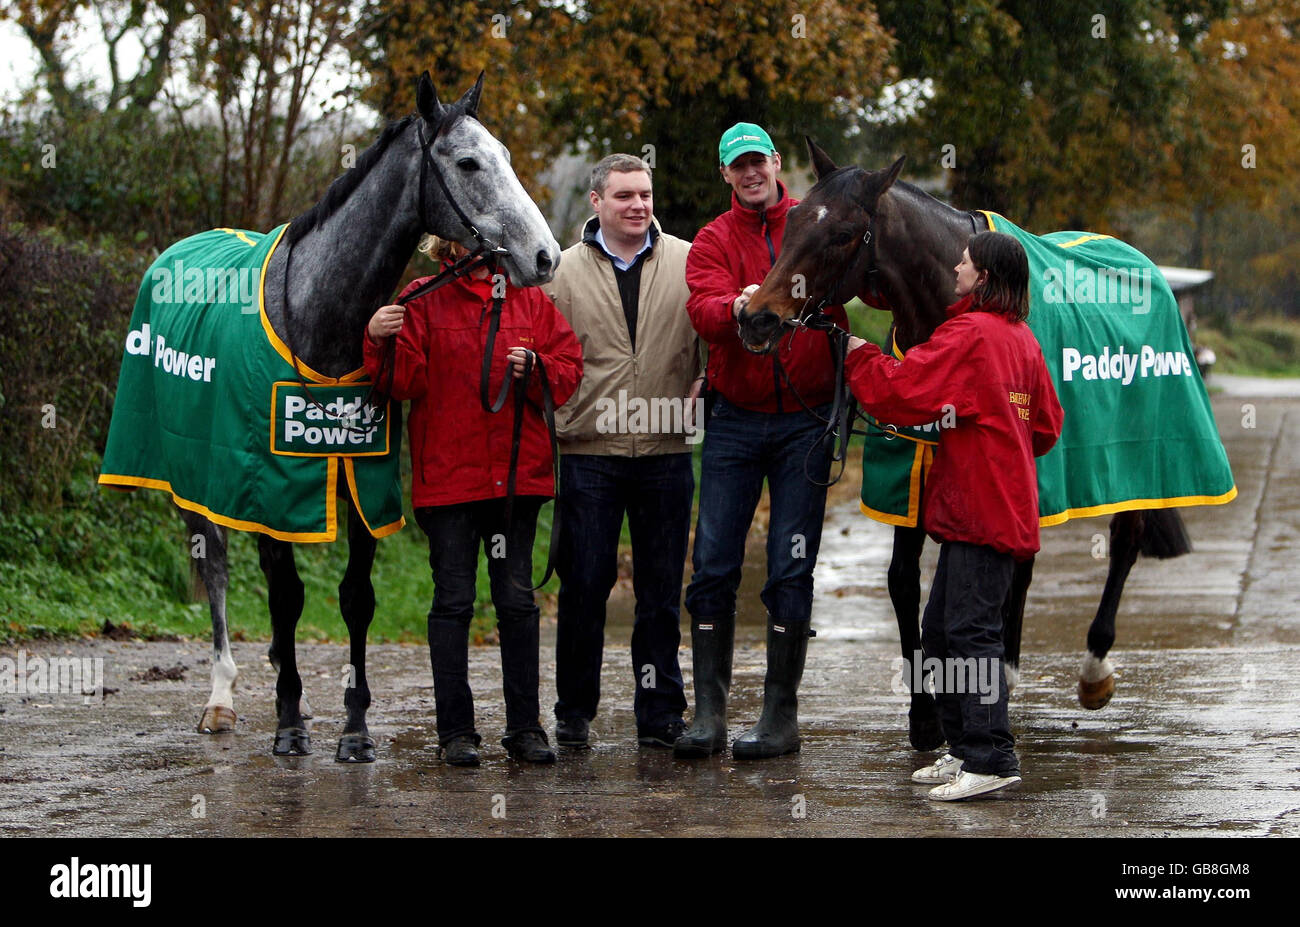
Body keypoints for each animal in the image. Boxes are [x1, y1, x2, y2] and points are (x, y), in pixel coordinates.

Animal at [104, 74, 561, 759]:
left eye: (505, 154)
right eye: (468, 162)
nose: (544, 256)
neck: (319, 316)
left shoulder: (361, 482)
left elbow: (356, 598)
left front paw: (354, 728)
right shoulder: (266, 483)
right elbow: (287, 594)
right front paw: (289, 723)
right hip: (192, 476)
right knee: (215, 565)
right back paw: (221, 697)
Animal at [743, 143, 1196, 754]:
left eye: (842, 233)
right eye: (790, 220)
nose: (756, 318)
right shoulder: (913, 471)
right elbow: (903, 581)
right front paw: (924, 714)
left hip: (1131, 460)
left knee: (1124, 540)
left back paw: (1091, 668)